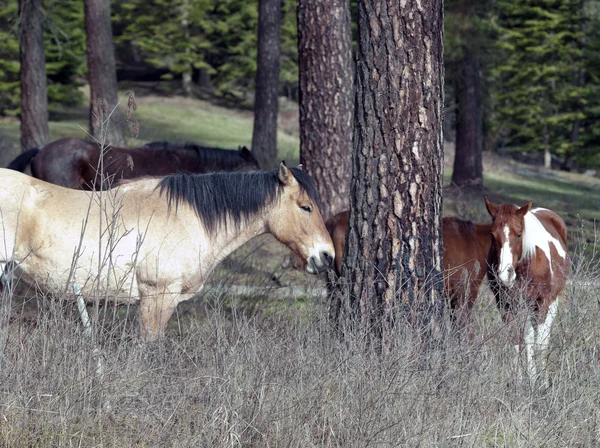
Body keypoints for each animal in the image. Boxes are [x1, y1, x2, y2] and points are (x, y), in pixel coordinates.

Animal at [486, 198, 568, 386]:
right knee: (529, 338)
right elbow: (517, 341)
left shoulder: (543, 302)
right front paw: (518, 381)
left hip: (550, 303)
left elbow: (540, 344)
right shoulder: (506, 305)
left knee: (542, 338)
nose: (505, 275)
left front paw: (541, 383)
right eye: (492, 235)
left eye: (518, 234)